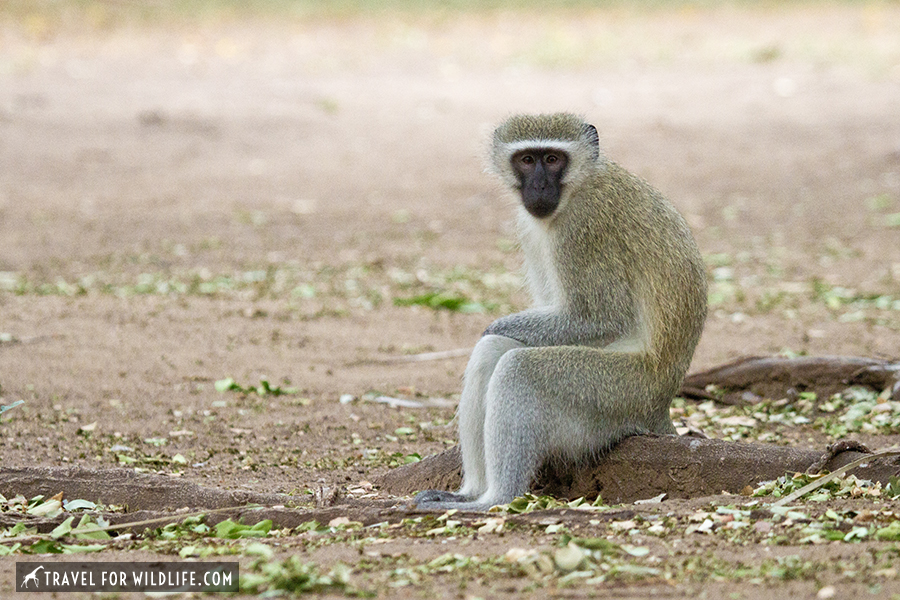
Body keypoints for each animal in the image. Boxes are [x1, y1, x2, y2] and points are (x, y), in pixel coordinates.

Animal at [414, 112, 712, 510]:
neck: (578, 187)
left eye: (553, 159)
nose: (539, 186)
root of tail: (660, 406)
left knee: (518, 368)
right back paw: (471, 493)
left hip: (618, 395)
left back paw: (494, 500)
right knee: (495, 354)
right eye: (527, 160)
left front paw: (491, 325)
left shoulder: (585, 225)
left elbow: (599, 317)